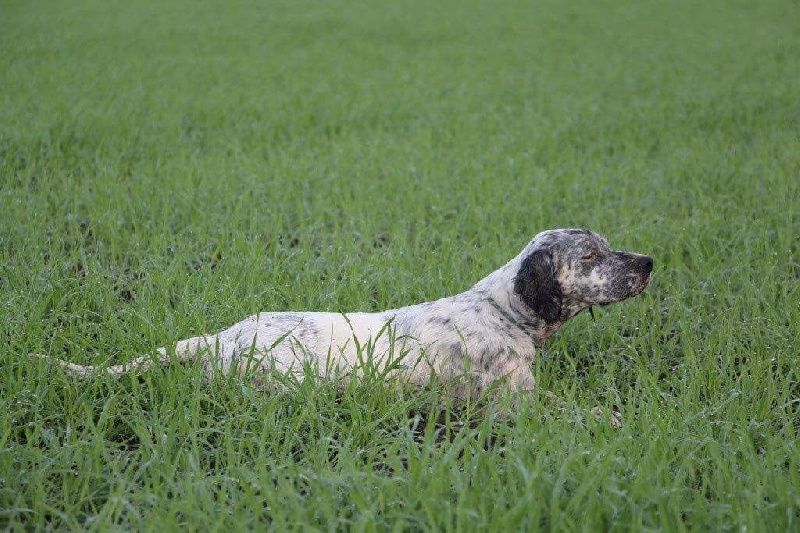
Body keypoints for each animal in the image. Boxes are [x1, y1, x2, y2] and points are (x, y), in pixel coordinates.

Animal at [34, 228, 652, 400]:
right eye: (590, 256)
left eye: (606, 245)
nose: (649, 261)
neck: (502, 309)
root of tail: (219, 338)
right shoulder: (511, 405)